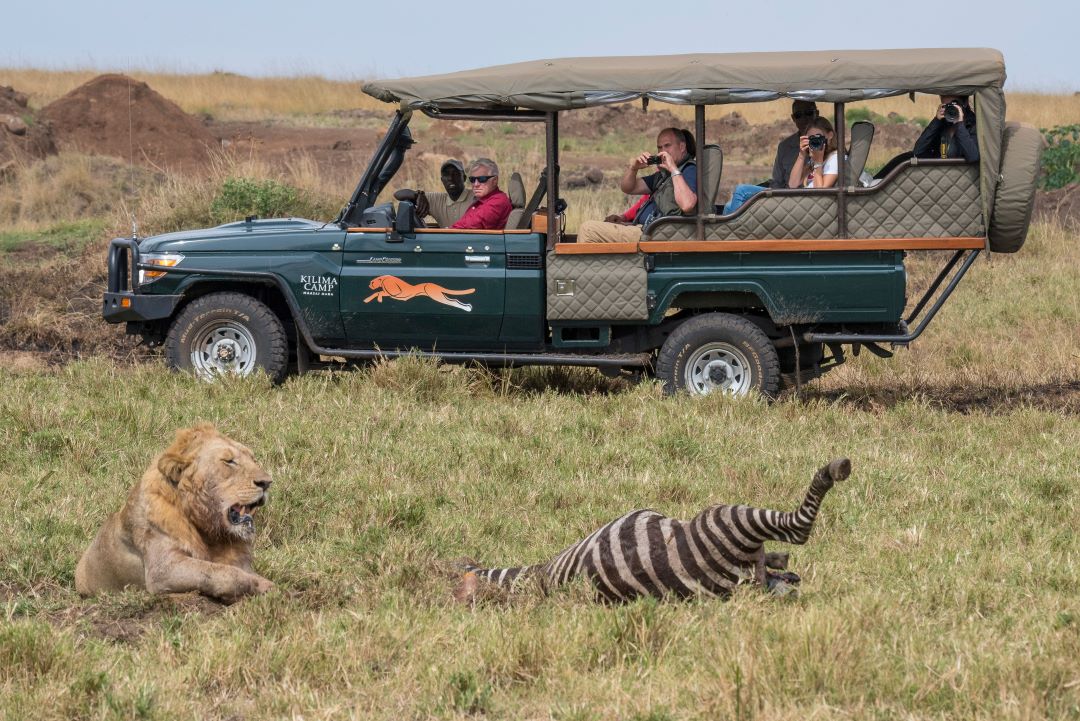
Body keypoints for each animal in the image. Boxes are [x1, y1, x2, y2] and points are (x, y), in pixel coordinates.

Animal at [75, 423, 274, 603]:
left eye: (253, 459)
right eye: (229, 461)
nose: (267, 482)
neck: (210, 533)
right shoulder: (163, 569)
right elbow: (217, 570)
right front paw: (259, 586)